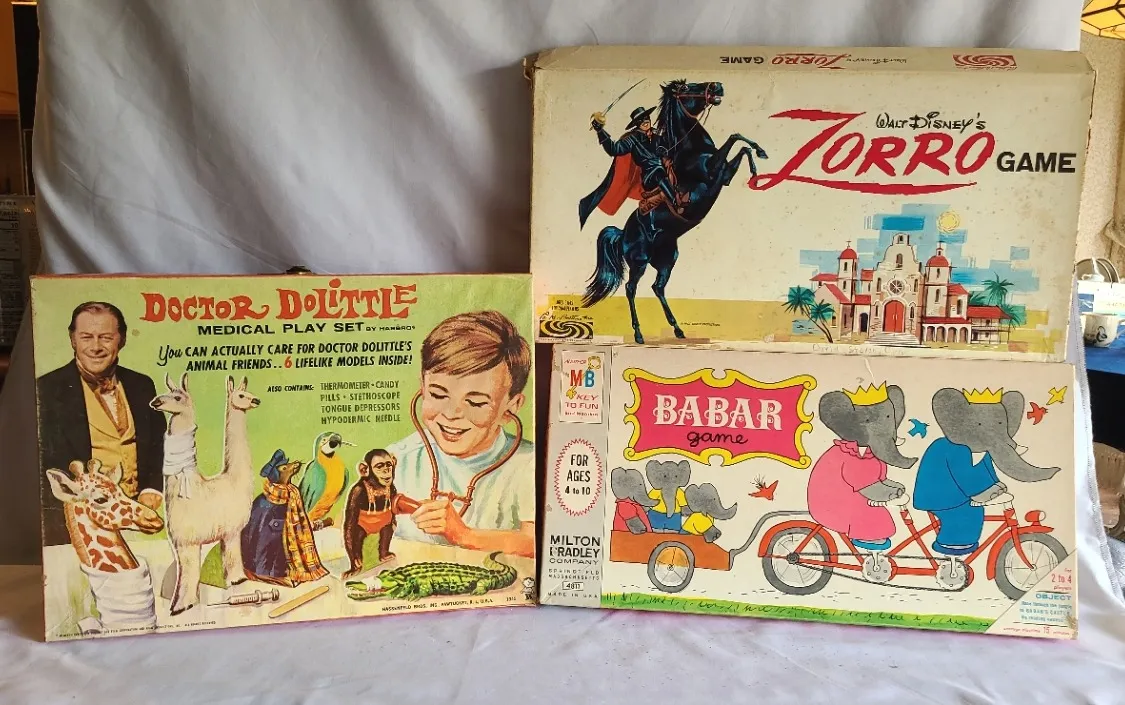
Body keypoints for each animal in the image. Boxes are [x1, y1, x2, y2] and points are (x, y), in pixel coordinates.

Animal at [580, 79, 768, 344]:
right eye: (687, 87)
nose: (718, 86)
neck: (691, 151)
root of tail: (622, 233)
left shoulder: (724, 175)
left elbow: (740, 146)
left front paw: (757, 162)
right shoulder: (711, 171)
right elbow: (733, 139)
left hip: (667, 260)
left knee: (657, 287)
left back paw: (678, 329)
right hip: (639, 261)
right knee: (630, 288)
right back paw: (638, 333)